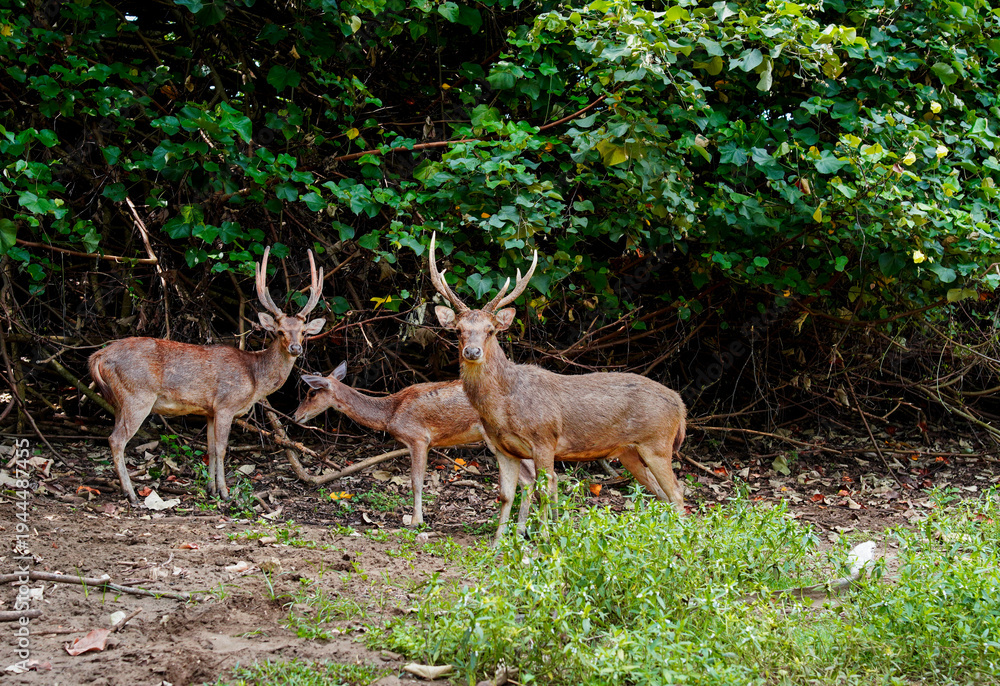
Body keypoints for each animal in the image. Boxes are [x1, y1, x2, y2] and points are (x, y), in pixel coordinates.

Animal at [88, 247, 325, 505]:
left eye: (303, 332)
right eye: (280, 331)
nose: (295, 348)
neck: (254, 378)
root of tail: (99, 356)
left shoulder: (209, 411)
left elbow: (210, 448)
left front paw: (211, 489)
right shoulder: (225, 405)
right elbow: (222, 448)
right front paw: (225, 492)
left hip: (120, 400)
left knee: (113, 435)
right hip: (137, 396)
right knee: (116, 439)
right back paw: (131, 493)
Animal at [292, 361, 536, 526]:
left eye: (311, 392)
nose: (295, 416)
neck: (390, 414)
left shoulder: (418, 438)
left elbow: (416, 482)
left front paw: (415, 521)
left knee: (527, 478)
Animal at [428, 232, 687, 543]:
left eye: (490, 330)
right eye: (458, 330)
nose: (472, 351)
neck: (504, 407)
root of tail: (681, 405)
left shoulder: (544, 439)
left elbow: (546, 489)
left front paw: (544, 539)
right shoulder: (503, 449)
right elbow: (506, 495)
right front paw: (498, 543)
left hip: (658, 442)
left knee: (678, 493)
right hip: (630, 452)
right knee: (662, 494)